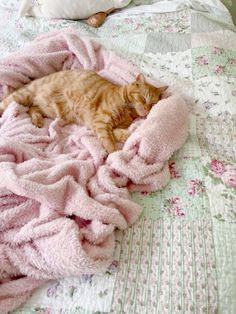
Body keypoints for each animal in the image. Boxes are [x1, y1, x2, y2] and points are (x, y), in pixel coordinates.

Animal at [0, 69, 169, 152]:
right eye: (143, 99)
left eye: (153, 104)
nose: (147, 109)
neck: (128, 112)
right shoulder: (100, 122)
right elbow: (108, 140)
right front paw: (113, 154)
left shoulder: (102, 125)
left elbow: (118, 133)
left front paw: (128, 134)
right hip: (23, 96)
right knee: (6, 103)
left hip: (47, 109)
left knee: (32, 108)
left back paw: (37, 120)